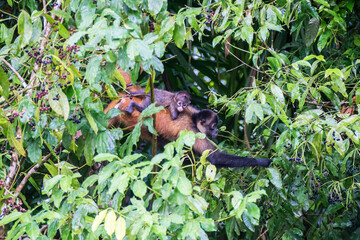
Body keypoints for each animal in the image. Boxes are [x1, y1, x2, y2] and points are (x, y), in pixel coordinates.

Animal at [105, 69, 272, 167]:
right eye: (213, 126)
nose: (216, 132)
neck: (194, 118)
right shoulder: (193, 132)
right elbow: (215, 157)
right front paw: (263, 161)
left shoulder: (190, 108)